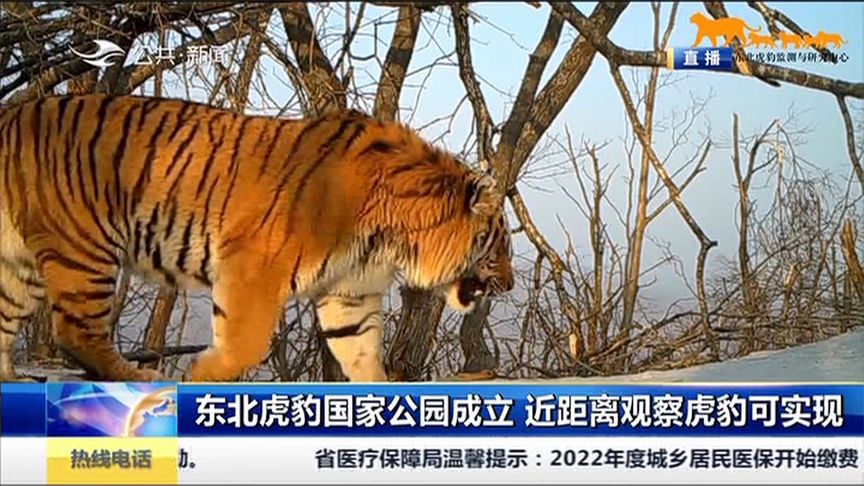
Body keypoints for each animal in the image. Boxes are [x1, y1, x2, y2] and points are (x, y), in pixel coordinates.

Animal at [0, 94, 514, 383]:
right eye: (500, 246)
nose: (509, 284)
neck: (393, 237)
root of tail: (12, 114)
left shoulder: (348, 291)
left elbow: (364, 355)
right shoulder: (253, 267)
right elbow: (245, 344)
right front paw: (202, 376)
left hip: (21, 268)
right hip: (85, 248)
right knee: (76, 332)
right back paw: (139, 375)